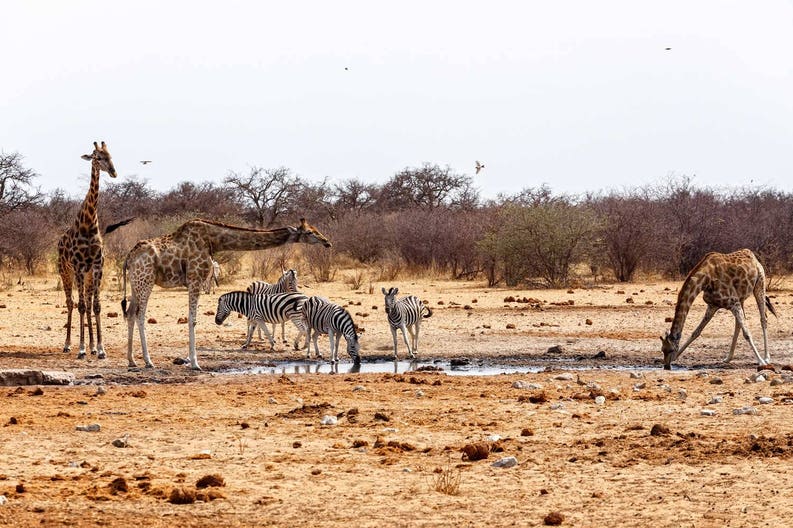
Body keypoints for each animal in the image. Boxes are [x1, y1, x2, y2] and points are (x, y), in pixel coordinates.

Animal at [57, 141, 117, 360]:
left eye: (110, 155)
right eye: (97, 157)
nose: (114, 172)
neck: (89, 222)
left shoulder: (97, 266)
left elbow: (96, 306)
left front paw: (99, 348)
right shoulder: (78, 267)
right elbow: (81, 306)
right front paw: (81, 348)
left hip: (88, 274)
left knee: (88, 303)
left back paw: (91, 346)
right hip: (66, 271)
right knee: (71, 302)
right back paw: (68, 345)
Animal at [121, 218, 331, 370]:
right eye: (310, 232)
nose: (327, 242)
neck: (214, 241)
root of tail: (128, 258)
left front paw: (190, 360)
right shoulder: (195, 279)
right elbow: (193, 320)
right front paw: (195, 363)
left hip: (136, 283)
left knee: (130, 313)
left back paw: (132, 360)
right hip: (146, 281)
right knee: (140, 315)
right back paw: (148, 361)